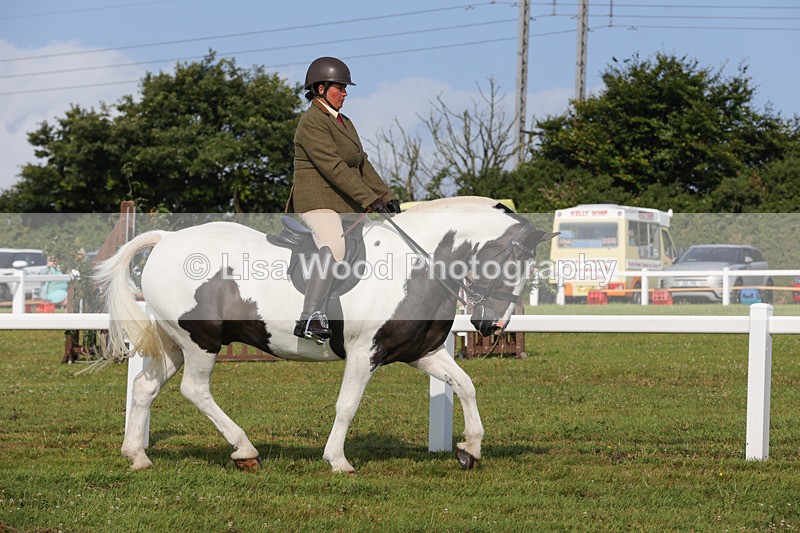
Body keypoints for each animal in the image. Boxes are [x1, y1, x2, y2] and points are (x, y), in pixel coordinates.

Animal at [95, 197, 556, 473]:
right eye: (508, 264)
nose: (492, 326)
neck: (416, 265)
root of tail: (167, 240)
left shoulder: (420, 352)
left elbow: (465, 385)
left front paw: (470, 449)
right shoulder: (364, 352)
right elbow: (347, 405)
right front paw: (338, 460)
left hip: (174, 343)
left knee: (145, 387)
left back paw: (137, 455)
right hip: (200, 341)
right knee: (195, 390)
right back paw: (245, 451)